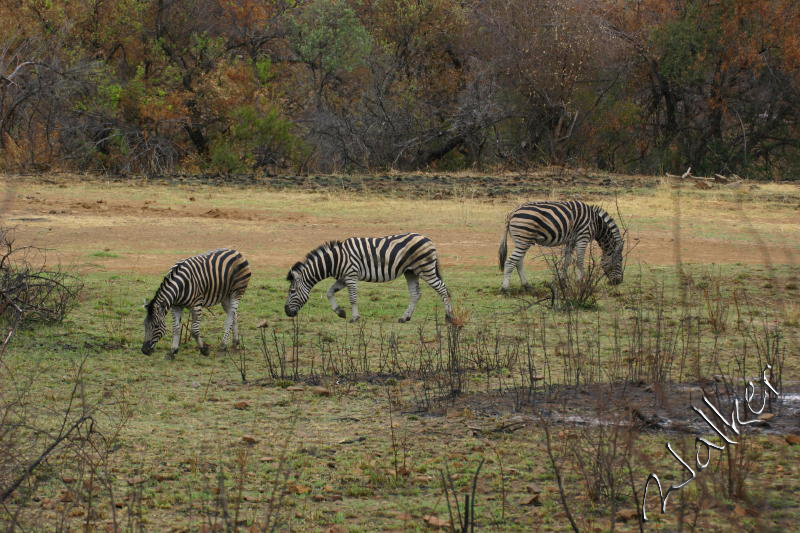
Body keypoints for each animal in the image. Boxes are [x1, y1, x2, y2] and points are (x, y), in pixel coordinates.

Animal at [284, 234, 454, 324]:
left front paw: (354, 317)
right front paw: (340, 312)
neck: (335, 260)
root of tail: (428, 239)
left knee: (442, 289)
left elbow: (352, 298)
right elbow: (329, 292)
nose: (286, 312)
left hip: (425, 269)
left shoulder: (351, 275)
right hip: (411, 272)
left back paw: (449, 316)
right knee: (415, 294)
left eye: (292, 291)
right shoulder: (343, 278)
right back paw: (405, 317)